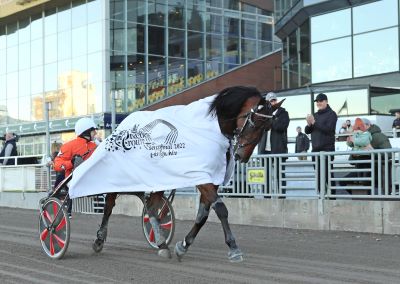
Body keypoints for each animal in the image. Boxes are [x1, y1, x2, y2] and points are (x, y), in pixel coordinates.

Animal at [88, 86, 280, 262]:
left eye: (267, 127)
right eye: (254, 122)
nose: (243, 156)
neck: (213, 127)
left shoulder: (211, 179)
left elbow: (202, 215)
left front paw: (183, 246)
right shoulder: (201, 176)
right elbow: (221, 209)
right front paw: (233, 248)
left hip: (157, 179)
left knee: (151, 208)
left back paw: (161, 244)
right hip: (117, 176)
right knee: (109, 203)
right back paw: (99, 239)